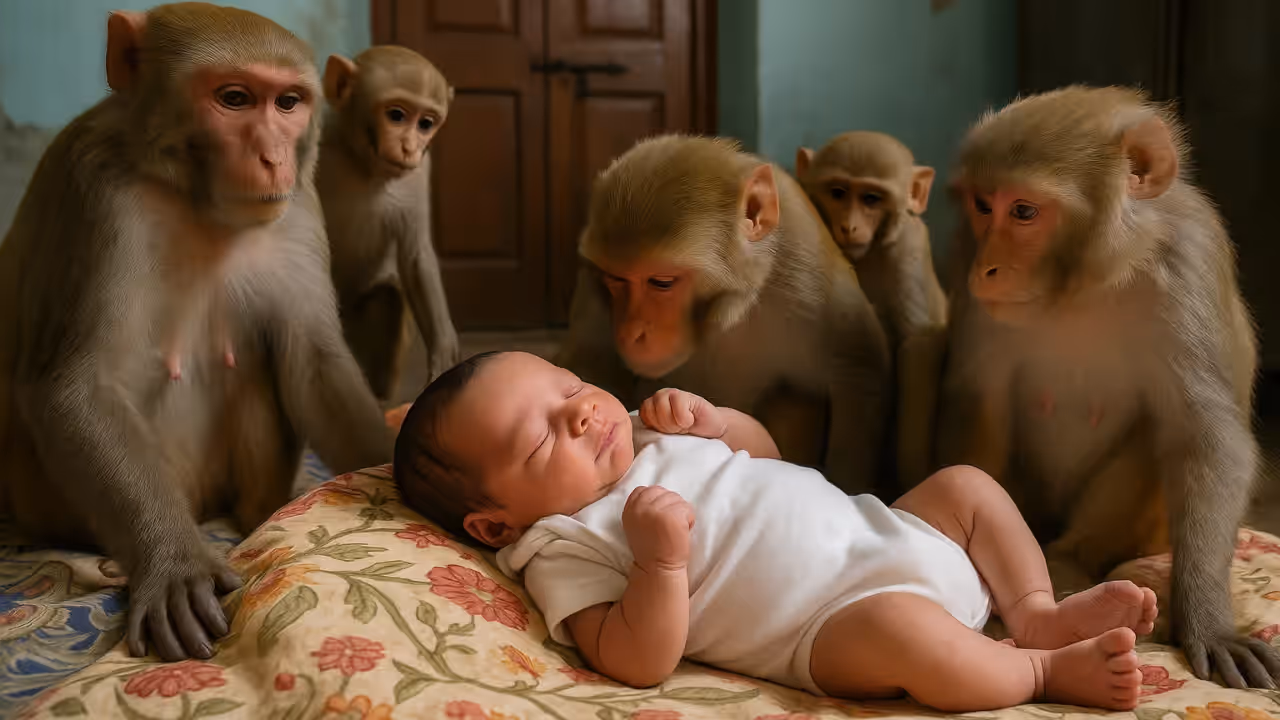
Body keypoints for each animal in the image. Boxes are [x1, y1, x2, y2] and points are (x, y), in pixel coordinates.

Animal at [0, 3, 393, 663]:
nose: (274, 156)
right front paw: (175, 563)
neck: (191, 196)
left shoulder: (298, 202)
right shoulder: (93, 192)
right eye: (234, 99)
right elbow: (76, 387)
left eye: (288, 103)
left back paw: (261, 516)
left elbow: (314, 362)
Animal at [317, 46, 459, 401]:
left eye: (425, 123)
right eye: (396, 115)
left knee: (388, 298)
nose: (410, 148)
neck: (362, 163)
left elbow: (415, 256)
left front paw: (444, 356)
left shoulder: (421, 170)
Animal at [557, 134, 893, 496]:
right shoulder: (590, 283)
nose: (631, 332)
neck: (730, 311)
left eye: (662, 282)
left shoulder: (805, 269)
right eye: (616, 279)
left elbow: (858, 370)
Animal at [796, 132, 948, 488]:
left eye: (871, 199)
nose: (849, 226)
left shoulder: (909, 246)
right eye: (838, 193)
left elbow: (919, 343)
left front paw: (914, 476)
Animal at [935, 85, 1280, 689]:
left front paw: (1208, 621)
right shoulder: (962, 255)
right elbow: (978, 406)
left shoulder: (1186, 265)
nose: (988, 269)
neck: (1084, 286)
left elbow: (1205, 438)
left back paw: (1073, 566)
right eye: (983, 205)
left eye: (1024, 211)